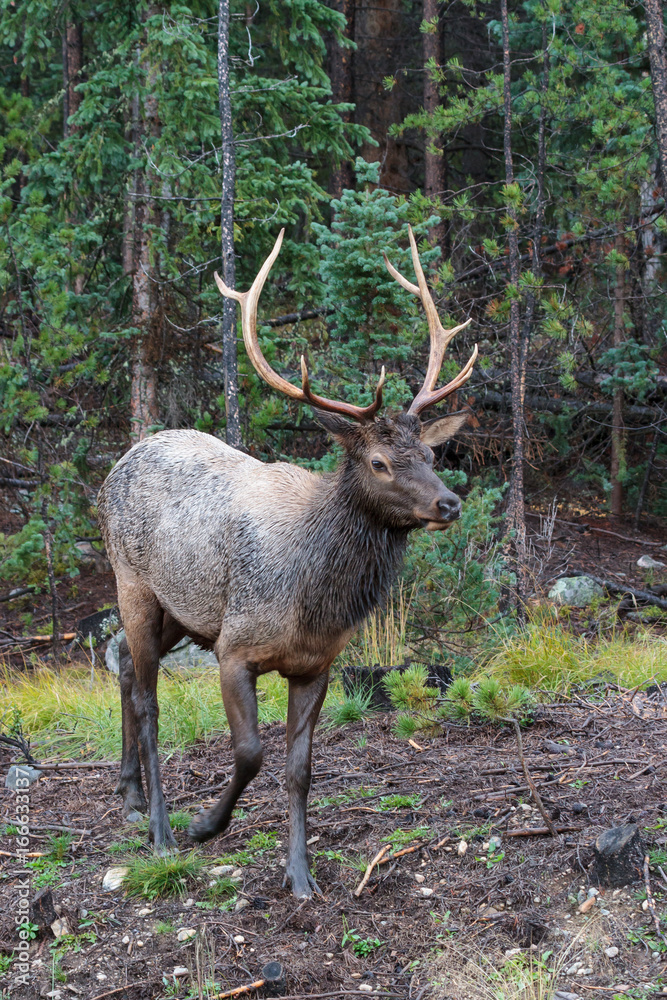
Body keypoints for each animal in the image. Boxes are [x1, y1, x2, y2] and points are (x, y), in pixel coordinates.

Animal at [97, 226, 477, 898]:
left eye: (430, 454)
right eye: (379, 462)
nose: (448, 502)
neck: (314, 598)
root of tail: (121, 460)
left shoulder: (317, 664)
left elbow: (302, 768)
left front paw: (301, 876)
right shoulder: (235, 647)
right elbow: (250, 751)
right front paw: (205, 826)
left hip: (181, 612)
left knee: (119, 660)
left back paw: (131, 799)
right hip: (133, 581)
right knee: (146, 699)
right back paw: (163, 831)